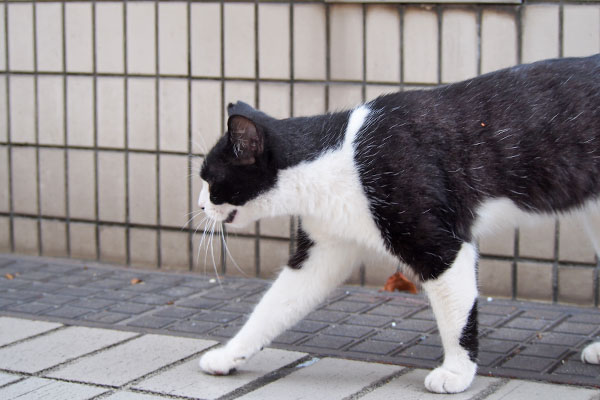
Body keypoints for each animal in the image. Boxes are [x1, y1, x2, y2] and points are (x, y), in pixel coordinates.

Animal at [198, 54, 600, 394]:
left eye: (211, 180)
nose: (200, 204)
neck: (337, 157)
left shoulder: (440, 247)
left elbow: (457, 317)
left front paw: (457, 372)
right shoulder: (324, 249)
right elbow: (274, 306)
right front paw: (230, 354)